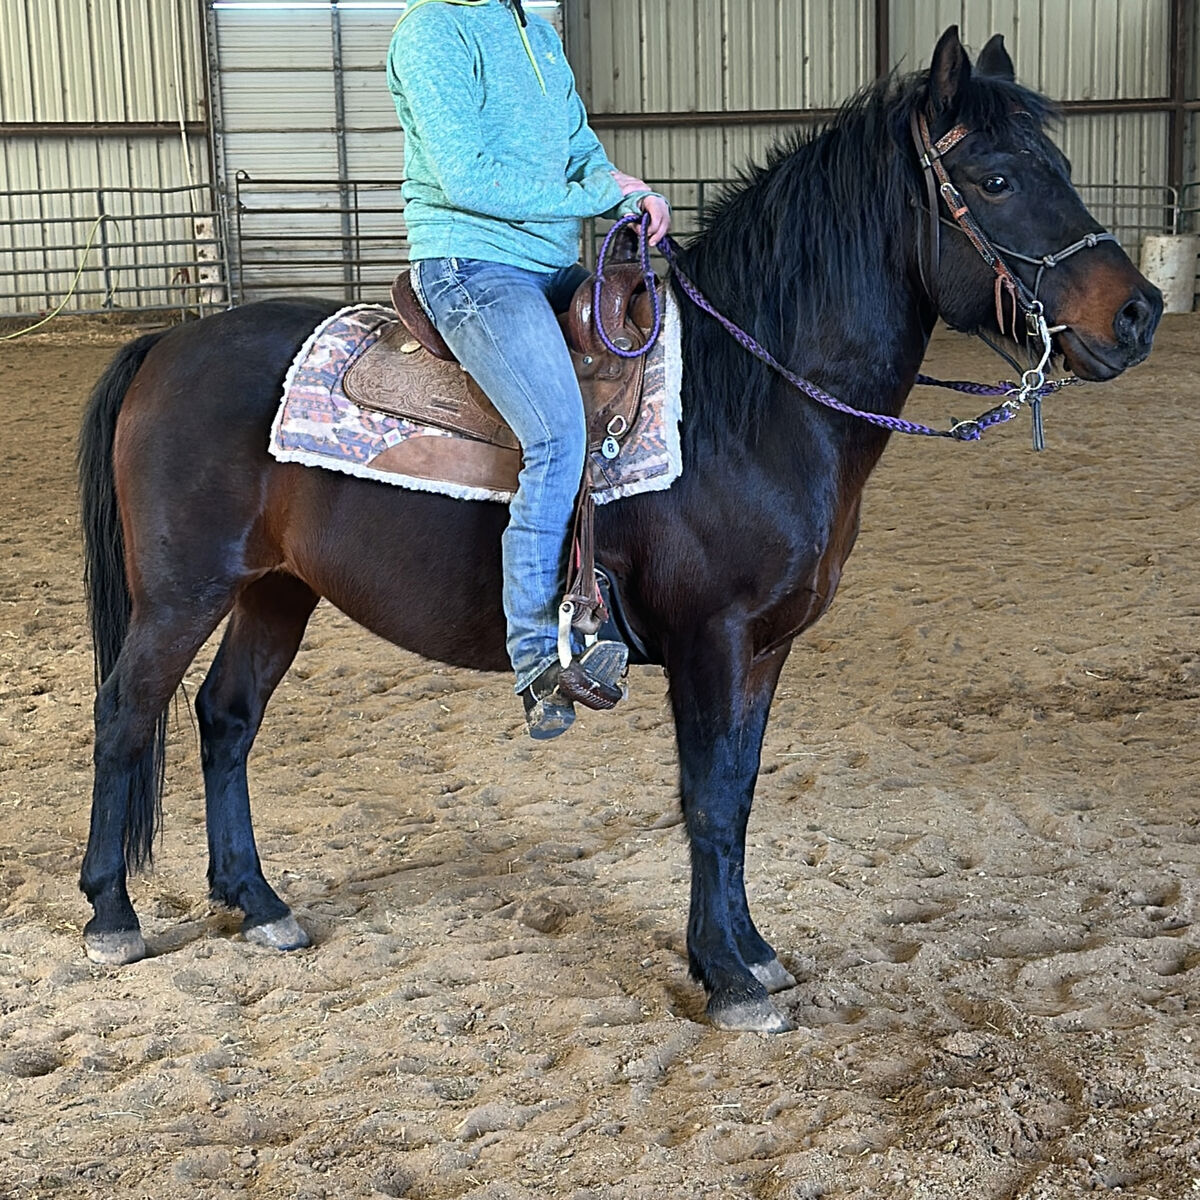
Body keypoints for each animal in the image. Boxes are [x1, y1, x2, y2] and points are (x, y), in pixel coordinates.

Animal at [76, 27, 1160, 1033]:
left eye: (1064, 166)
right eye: (998, 177)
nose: (1141, 313)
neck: (747, 398)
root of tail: (166, 344)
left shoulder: (766, 650)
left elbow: (739, 792)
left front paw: (751, 952)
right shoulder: (711, 641)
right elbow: (708, 800)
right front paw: (729, 981)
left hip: (276, 589)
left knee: (226, 717)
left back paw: (259, 904)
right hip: (182, 592)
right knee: (127, 712)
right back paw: (111, 918)